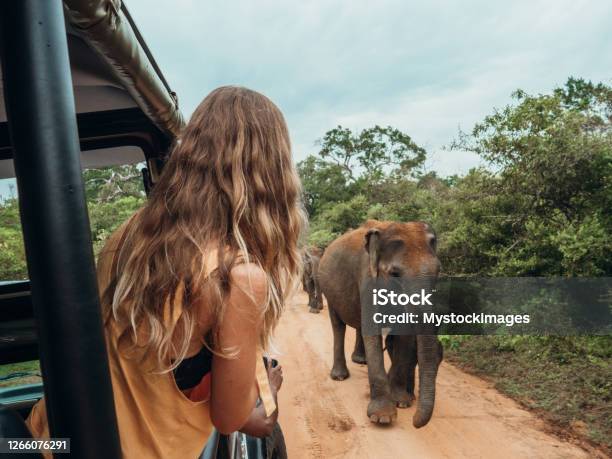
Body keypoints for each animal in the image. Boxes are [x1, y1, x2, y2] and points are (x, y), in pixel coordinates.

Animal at [318, 221, 442, 430]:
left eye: (438, 272)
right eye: (395, 274)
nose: (415, 422)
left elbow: (404, 336)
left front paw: (402, 402)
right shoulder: (367, 278)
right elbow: (373, 331)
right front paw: (382, 417)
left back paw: (361, 361)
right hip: (329, 291)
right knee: (338, 326)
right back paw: (340, 376)